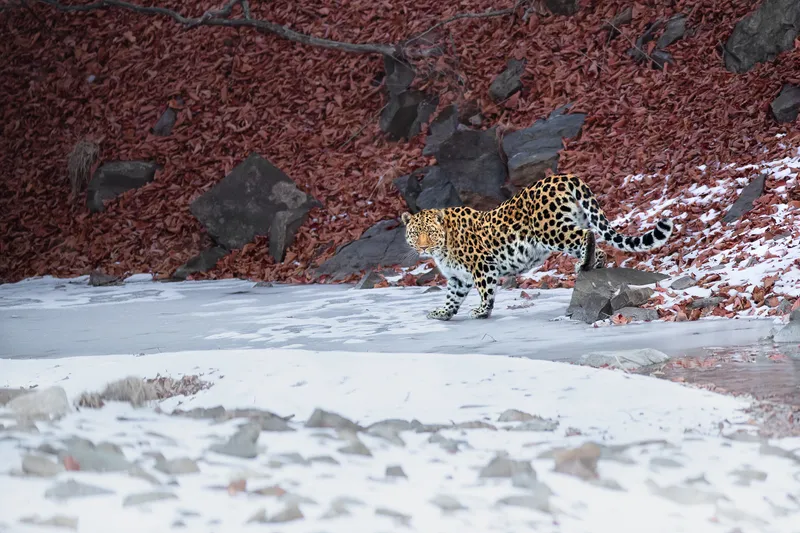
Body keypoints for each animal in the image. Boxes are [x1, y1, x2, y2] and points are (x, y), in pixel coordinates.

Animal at [401, 173, 674, 320]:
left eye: (430, 233)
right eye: (416, 234)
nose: (423, 249)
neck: (444, 244)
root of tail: (563, 176)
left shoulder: (482, 266)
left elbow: (486, 291)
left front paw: (481, 311)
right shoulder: (459, 278)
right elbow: (452, 297)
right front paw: (442, 313)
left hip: (550, 230)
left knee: (587, 236)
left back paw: (584, 264)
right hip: (568, 224)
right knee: (598, 245)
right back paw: (590, 265)